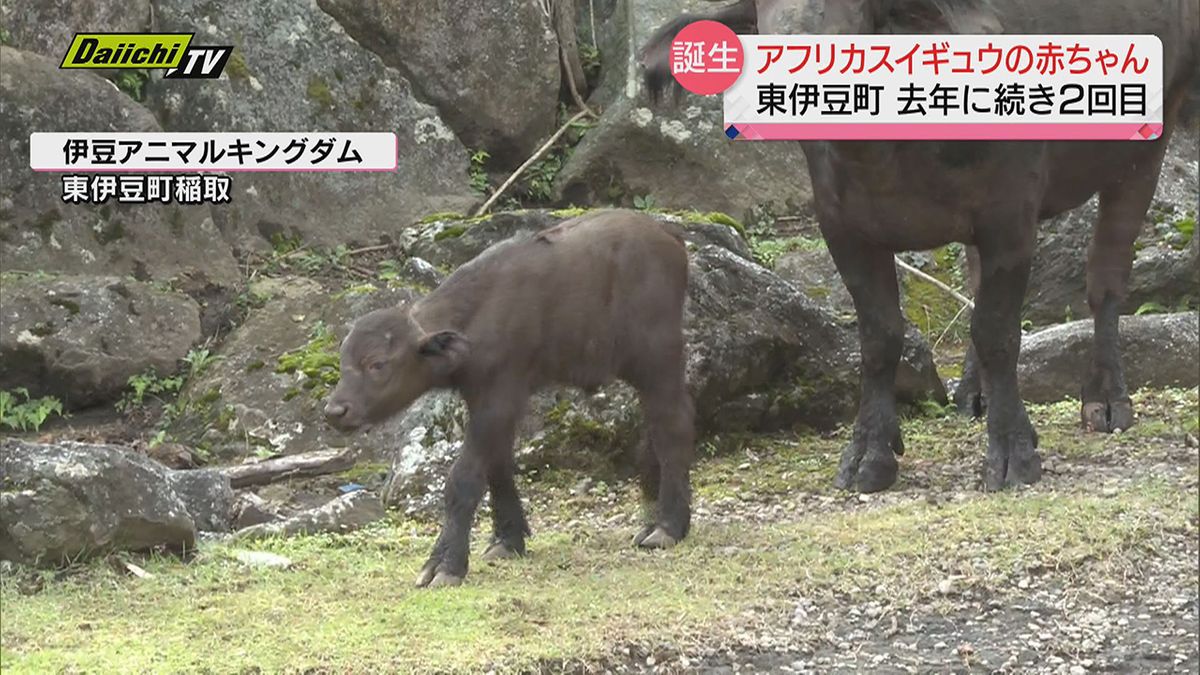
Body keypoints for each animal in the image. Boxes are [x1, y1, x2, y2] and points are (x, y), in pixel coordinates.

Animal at [326, 207, 696, 586]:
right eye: (343, 360)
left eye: (377, 364)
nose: (336, 410)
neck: (478, 316)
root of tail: (669, 237)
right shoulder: (486, 402)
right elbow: (497, 468)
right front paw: (507, 540)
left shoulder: (498, 399)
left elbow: (463, 478)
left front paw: (445, 565)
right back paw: (653, 517)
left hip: (659, 360)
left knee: (674, 423)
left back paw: (668, 527)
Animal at [643, 0, 1200, 492]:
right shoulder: (844, 228)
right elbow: (880, 339)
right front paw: (870, 452)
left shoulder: (1010, 218)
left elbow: (998, 333)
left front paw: (1013, 452)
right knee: (976, 285)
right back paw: (974, 394)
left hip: (1147, 144)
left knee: (1105, 277)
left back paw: (1105, 398)